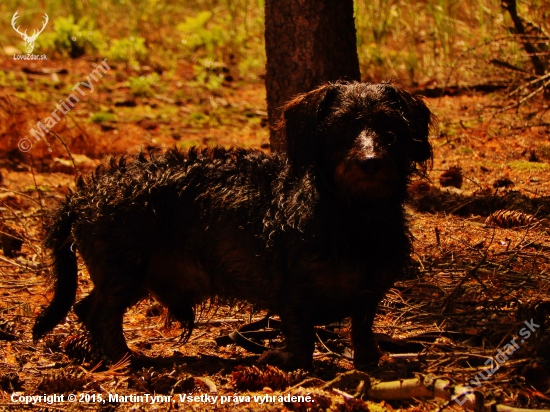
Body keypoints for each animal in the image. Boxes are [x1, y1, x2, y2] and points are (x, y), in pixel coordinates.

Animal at [33, 81, 436, 370]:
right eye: (340, 127)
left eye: (391, 128)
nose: (370, 162)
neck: (354, 218)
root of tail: (84, 194)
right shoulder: (293, 291)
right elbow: (302, 336)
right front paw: (287, 362)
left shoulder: (370, 292)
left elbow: (363, 328)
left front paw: (370, 362)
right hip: (124, 270)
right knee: (101, 313)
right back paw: (125, 359)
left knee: (86, 307)